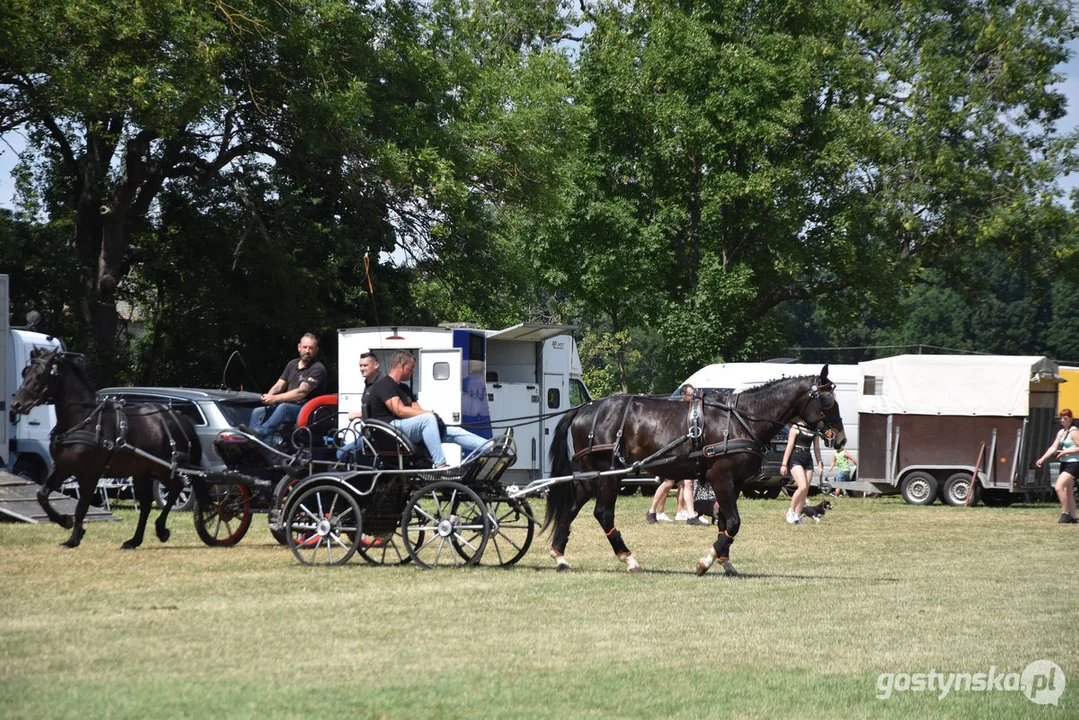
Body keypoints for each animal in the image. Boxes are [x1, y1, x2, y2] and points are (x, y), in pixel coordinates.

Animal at [9, 347, 202, 546]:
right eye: (25, 373)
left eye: (41, 375)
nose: (16, 405)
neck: (83, 420)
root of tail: (179, 417)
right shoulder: (63, 467)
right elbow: (42, 495)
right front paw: (65, 521)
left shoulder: (90, 474)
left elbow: (81, 506)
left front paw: (73, 538)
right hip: (143, 473)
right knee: (147, 504)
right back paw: (134, 541)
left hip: (164, 469)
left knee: (176, 489)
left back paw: (161, 529)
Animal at [548, 367, 841, 574]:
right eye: (828, 401)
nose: (840, 438)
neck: (740, 419)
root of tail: (584, 410)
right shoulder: (721, 479)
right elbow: (733, 522)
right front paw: (706, 561)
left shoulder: (733, 483)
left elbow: (724, 522)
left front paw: (725, 561)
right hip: (610, 474)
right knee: (603, 513)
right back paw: (628, 558)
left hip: (591, 476)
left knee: (570, 509)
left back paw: (560, 556)